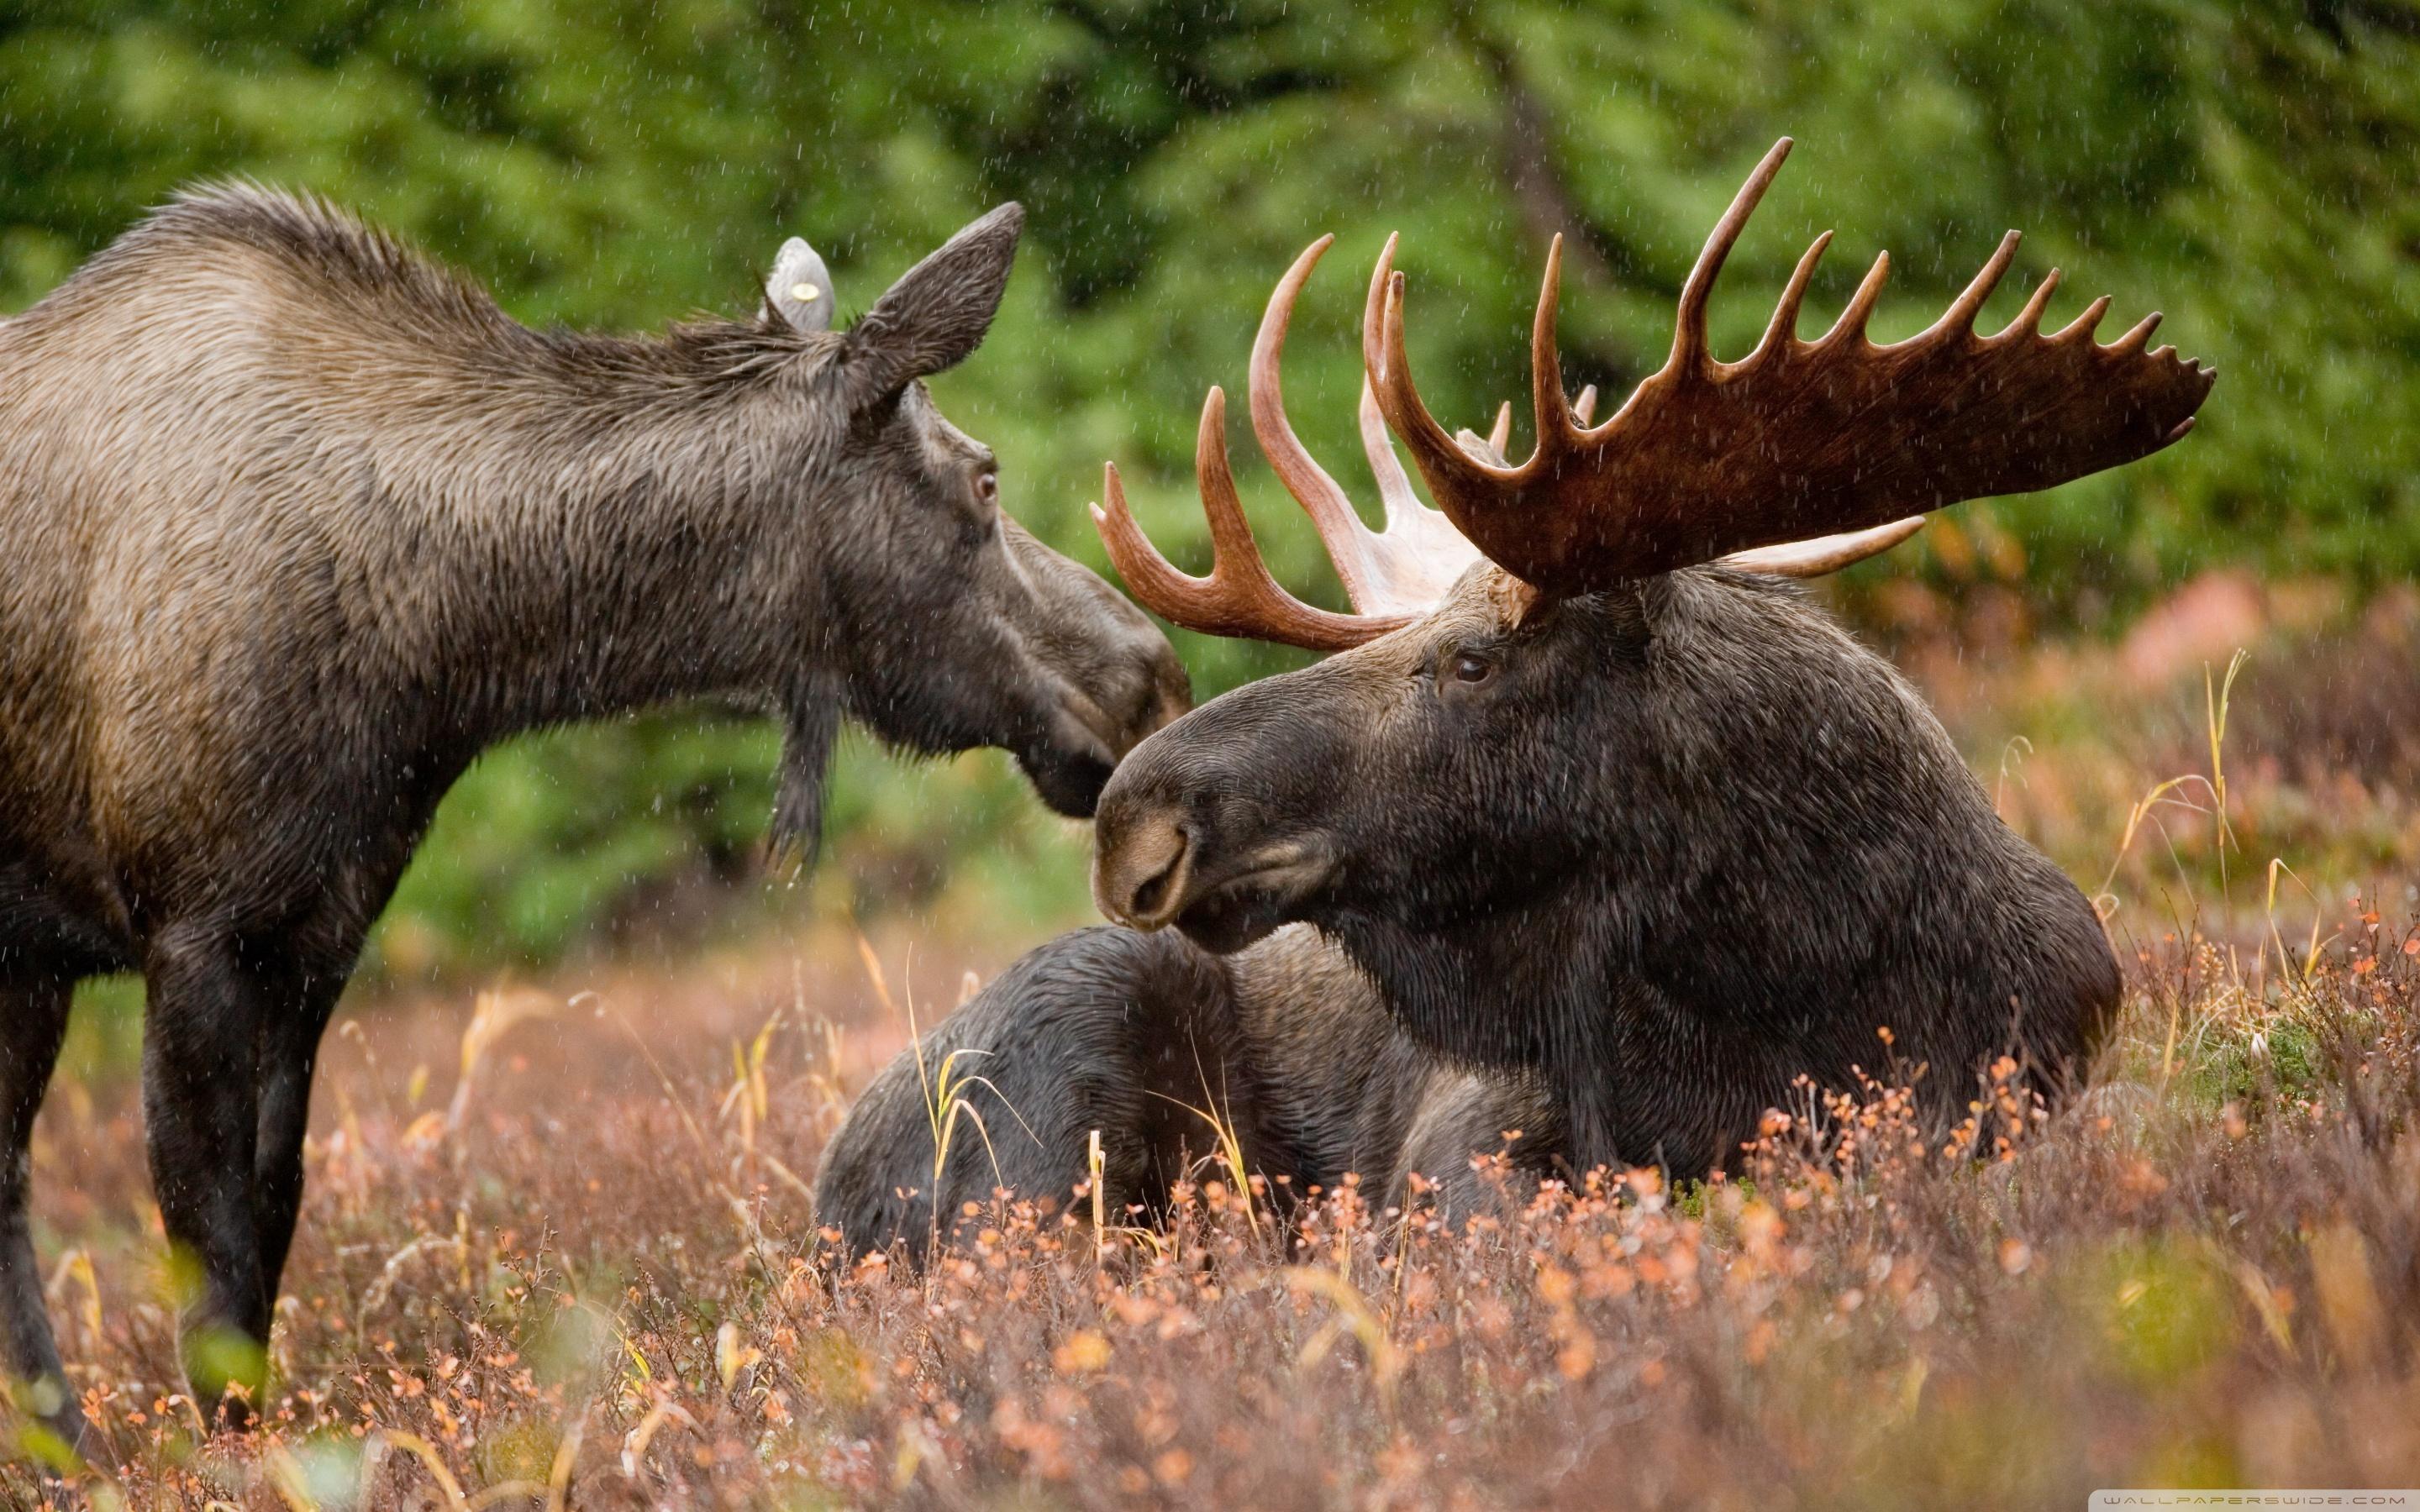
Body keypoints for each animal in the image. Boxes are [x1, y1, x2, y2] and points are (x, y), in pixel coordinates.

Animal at [0, 189, 1188, 1450]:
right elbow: (211, 1255)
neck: (443, 650)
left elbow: (272, 1220)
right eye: (985, 478)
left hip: (30, 963)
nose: (1150, 677)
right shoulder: (193, 930)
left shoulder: (317, 931)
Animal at [814, 138, 2213, 1263]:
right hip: (1060, 1066)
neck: (1795, 979)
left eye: (1474, 660)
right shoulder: (1471, 1139)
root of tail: (822, 1194)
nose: (1135, 817)